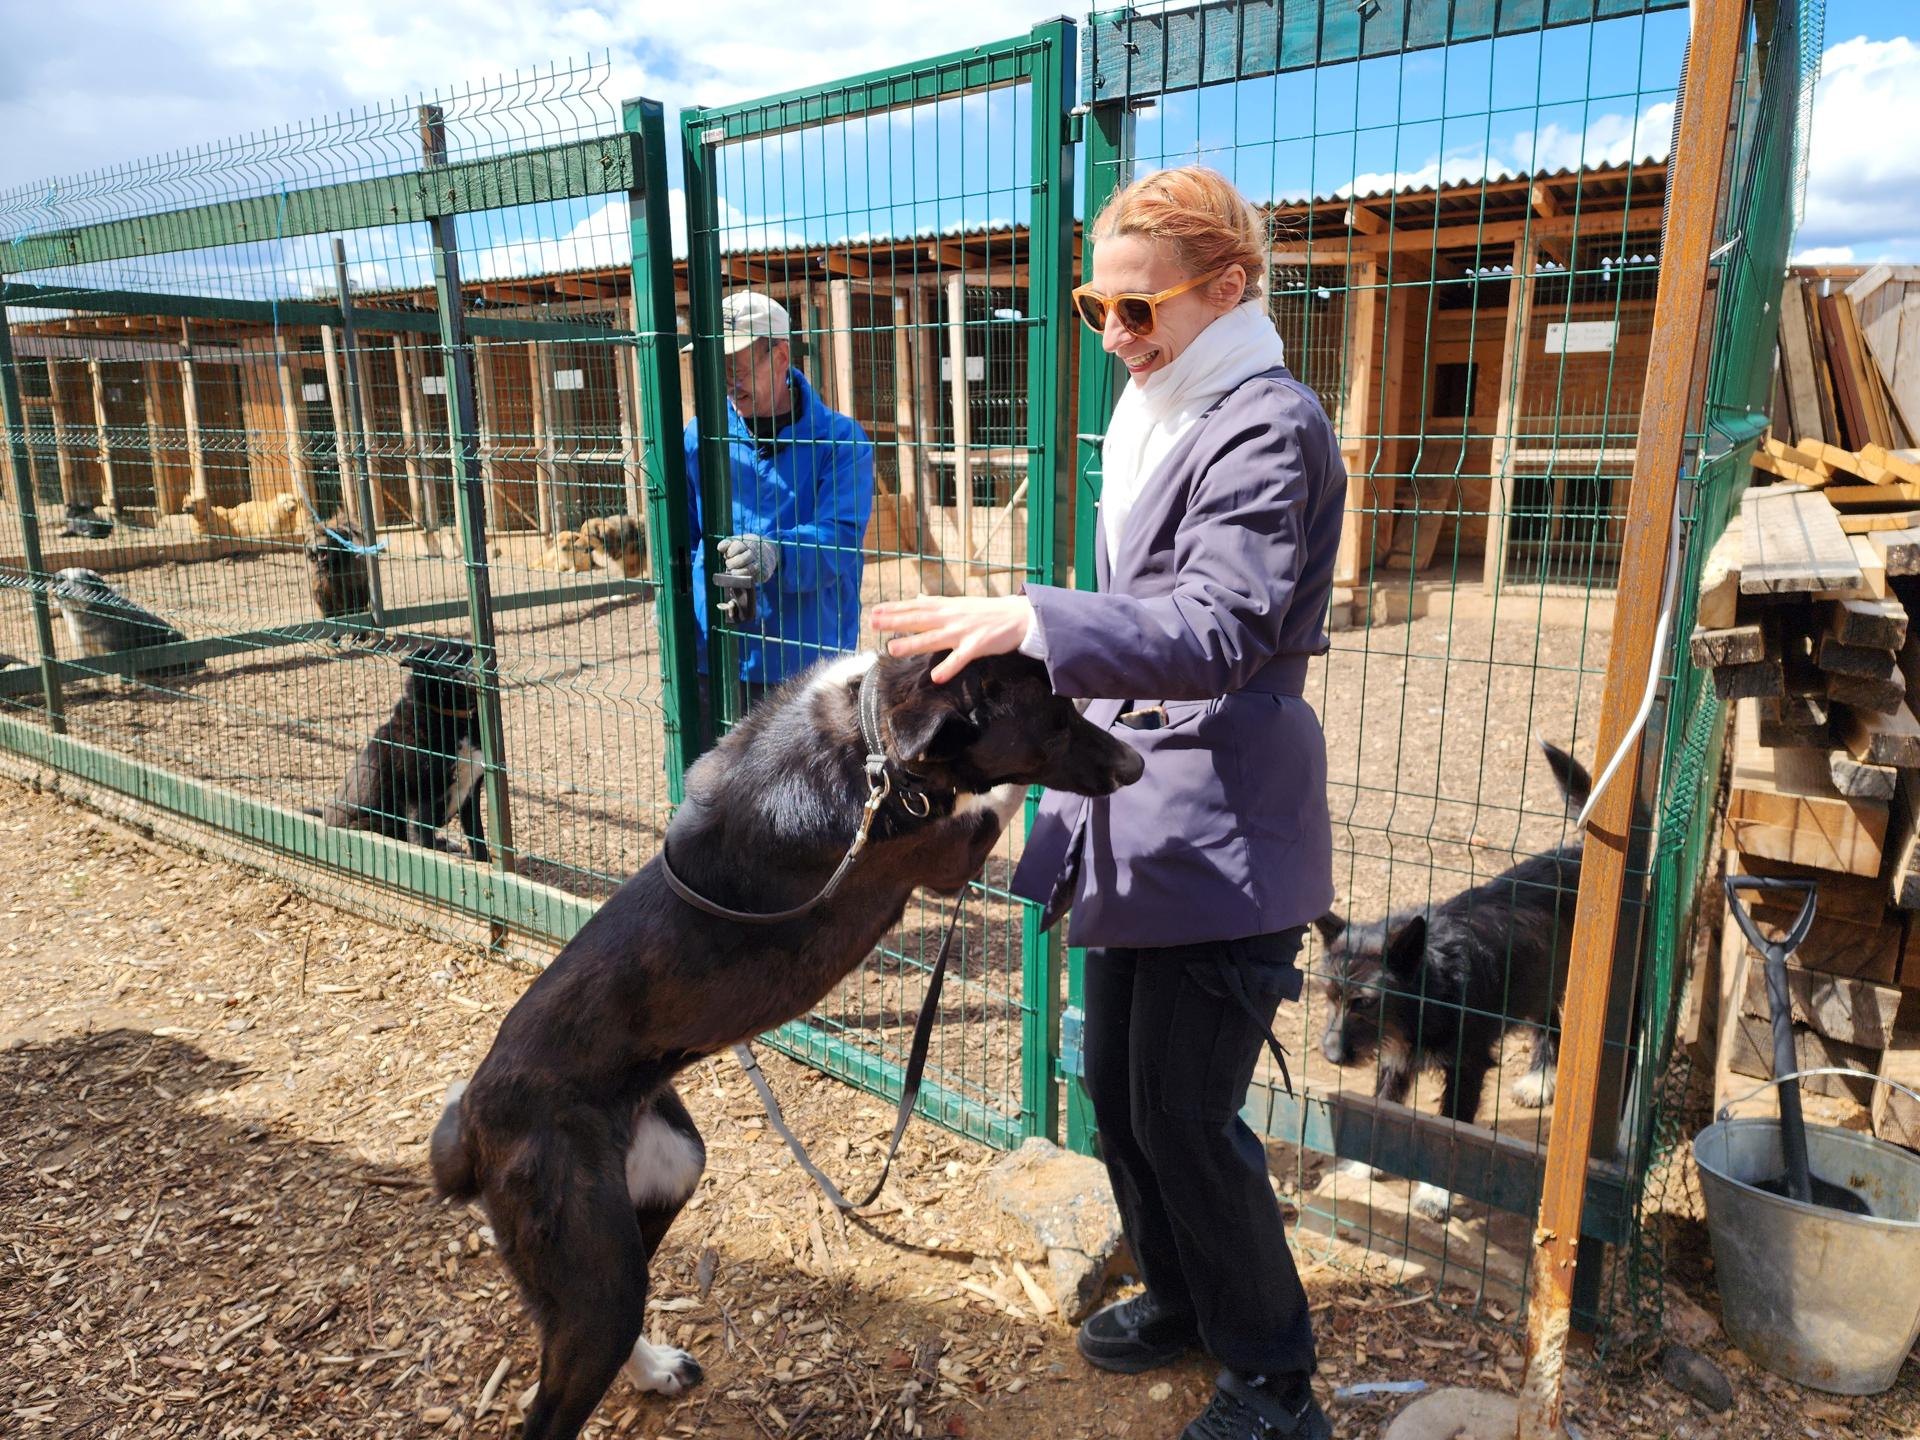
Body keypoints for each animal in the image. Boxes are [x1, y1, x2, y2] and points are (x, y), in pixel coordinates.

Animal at [320, 641, 487, 864]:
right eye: (454, 659)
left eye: (472, 653)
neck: (452, 718)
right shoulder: (418, 793)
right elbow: (421, 838)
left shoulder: (472, 792)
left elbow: (478, 836)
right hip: (376, 823)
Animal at [428, 652, 1136, 1440]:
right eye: (1054, 724)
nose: (1136, 763)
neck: (872, 744)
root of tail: (474, 1123)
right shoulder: (947, 850)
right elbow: (992, 799)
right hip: (591, 1262)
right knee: (554, 1400)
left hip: (663, 1177)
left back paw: (653, 1369)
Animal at [1320, 744, 1589, 1228]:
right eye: (1329, 997)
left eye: (1365, 1003)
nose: (1330, 1056)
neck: (1436, 983)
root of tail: (1577, 853)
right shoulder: (1395, 1058)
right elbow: (1382, 1109)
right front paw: (1365, 1167)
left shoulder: (1468, 1066)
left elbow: (1450, 1134)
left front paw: (1435, 1194)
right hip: (1537, 981)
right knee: (1549, 1023)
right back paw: (1540, 1080)